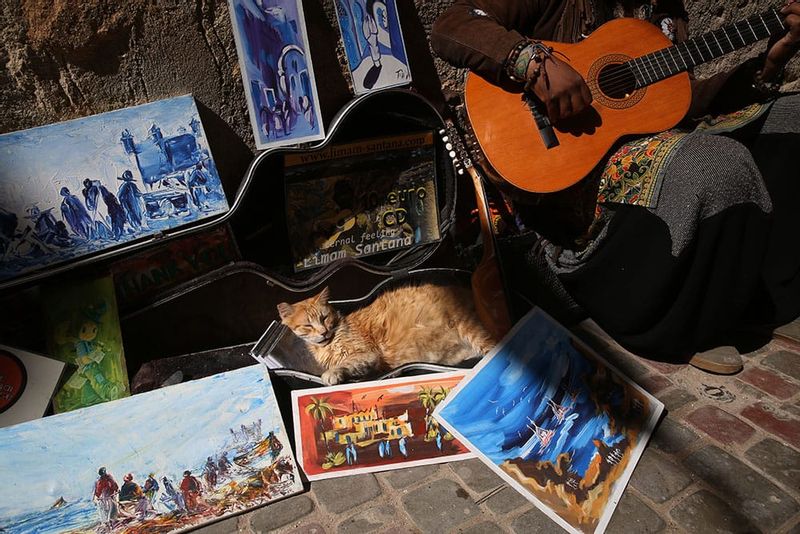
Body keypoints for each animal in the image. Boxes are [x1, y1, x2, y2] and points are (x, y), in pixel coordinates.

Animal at [278, 284, 496, 386]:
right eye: (308, 325)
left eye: (324, 318)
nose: (323, 332)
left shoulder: (367, 354)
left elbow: (346, 363)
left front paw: (332, 374)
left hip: (474, 331)